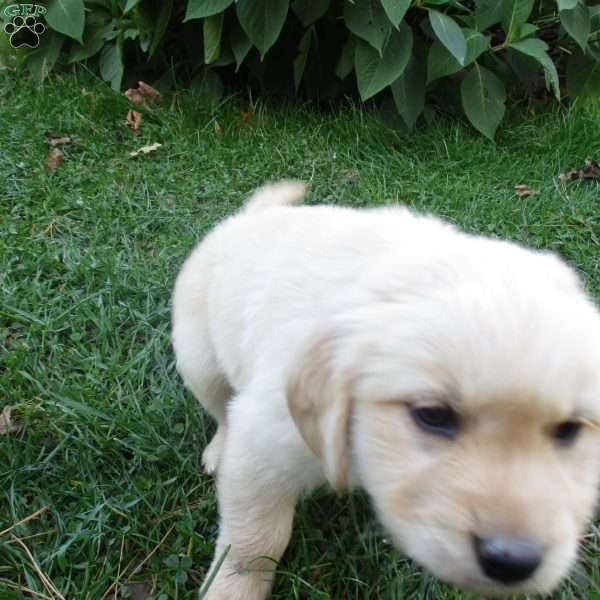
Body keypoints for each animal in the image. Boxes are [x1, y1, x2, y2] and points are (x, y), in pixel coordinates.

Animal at [171, 183, 600, 600]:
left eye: (569, 429)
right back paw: (217, 450)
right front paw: (232, 588)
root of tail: (248, 217)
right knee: (220, 407)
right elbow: (254, 540)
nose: (512, 561)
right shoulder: (264, 444)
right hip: (197, 355)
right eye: (433, 415)